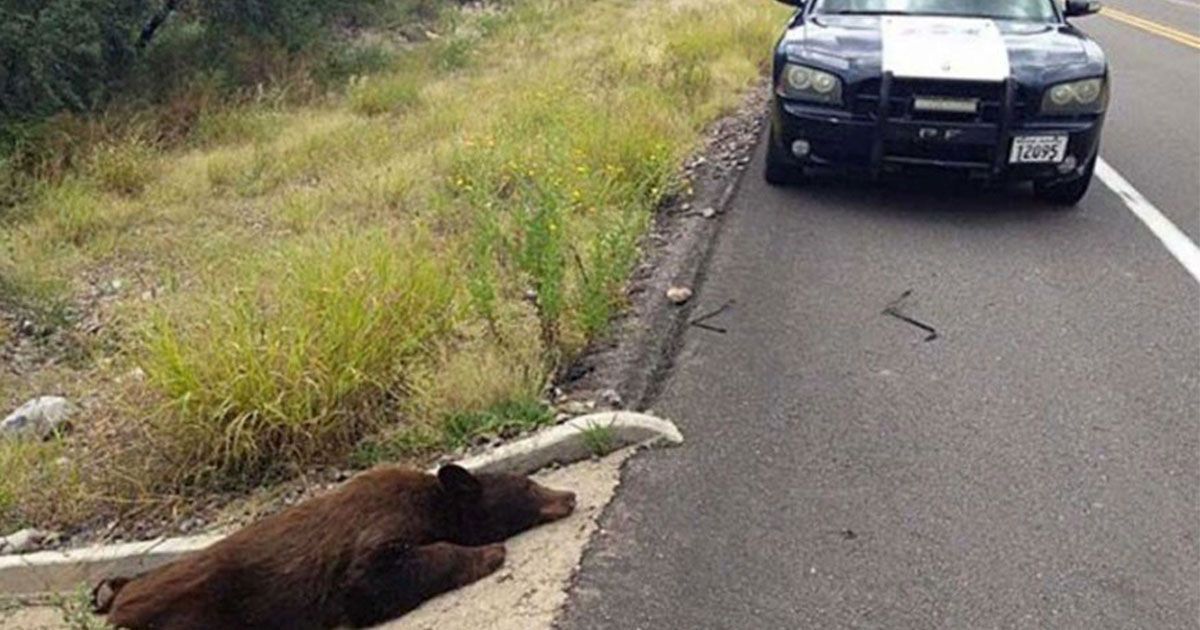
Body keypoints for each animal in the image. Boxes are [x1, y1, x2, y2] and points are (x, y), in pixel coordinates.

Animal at [91, 464, 576, 630]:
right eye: (529, 485)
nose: (570, 495)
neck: (437, 505)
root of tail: (119, 604)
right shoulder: (376, 536)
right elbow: (369, 580)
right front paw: (489, 552)